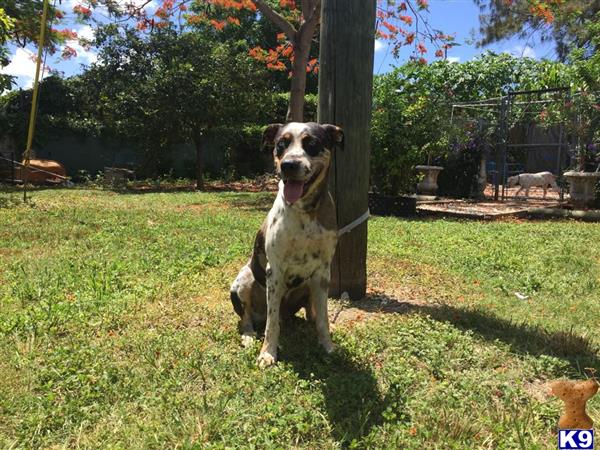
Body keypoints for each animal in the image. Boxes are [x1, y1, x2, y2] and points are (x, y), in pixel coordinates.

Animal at [229, 121, 342, 368]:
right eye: (281, 144)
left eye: (312, 144)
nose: (289, 165)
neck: (305, 211)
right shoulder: (275, 271)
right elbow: (272, 325)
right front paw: (268, 353)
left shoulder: (323, 273)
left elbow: (323, 318)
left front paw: (328, 346)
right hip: (244, 280)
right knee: (248, 317)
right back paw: (249, 335)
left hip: (308, 285)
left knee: (310, 313)